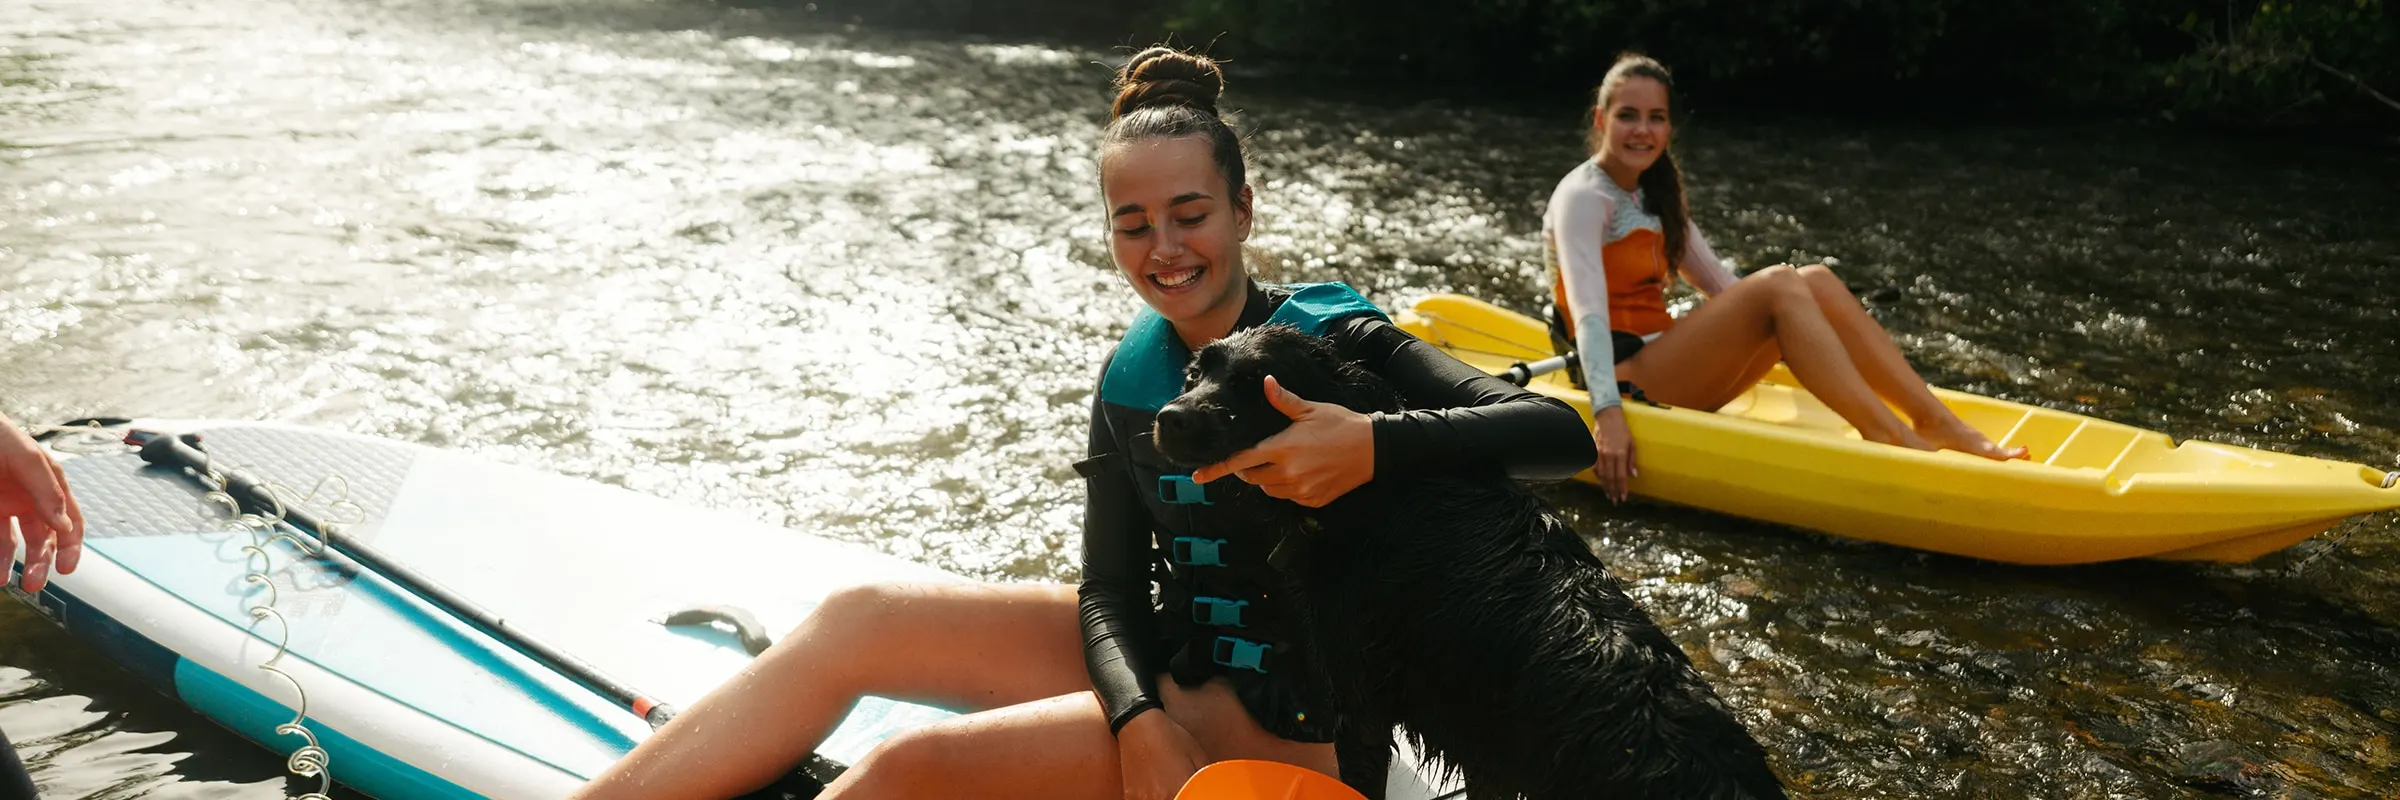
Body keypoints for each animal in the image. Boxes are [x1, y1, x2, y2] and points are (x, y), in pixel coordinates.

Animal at [1152, 321, 1795, 797]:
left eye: (1253, 383)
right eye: (1194, 374)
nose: (1169, 417)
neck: (1370, 498)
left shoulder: (1361, 708)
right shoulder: (1486, 759)